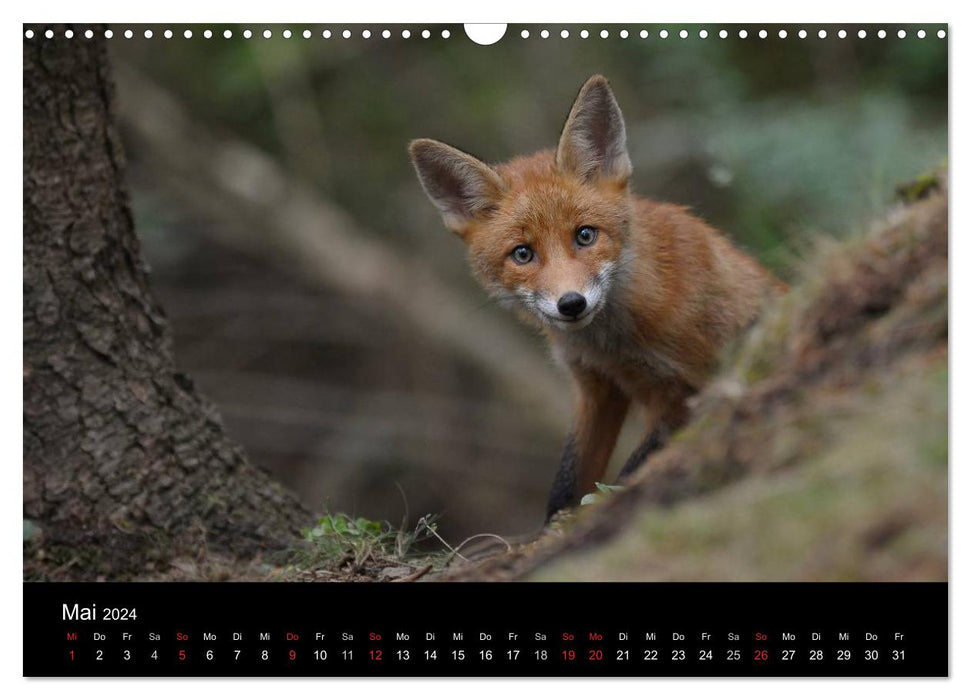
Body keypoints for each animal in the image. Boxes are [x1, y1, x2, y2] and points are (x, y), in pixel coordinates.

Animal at [408, 75, 784, 520]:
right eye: (523, 254)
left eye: (585, 235)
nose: (571, 304)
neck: (613, 345)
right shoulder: (595, 387)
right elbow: (567, 484)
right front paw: (554, 526)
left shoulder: (690, 387)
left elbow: (626, 476)